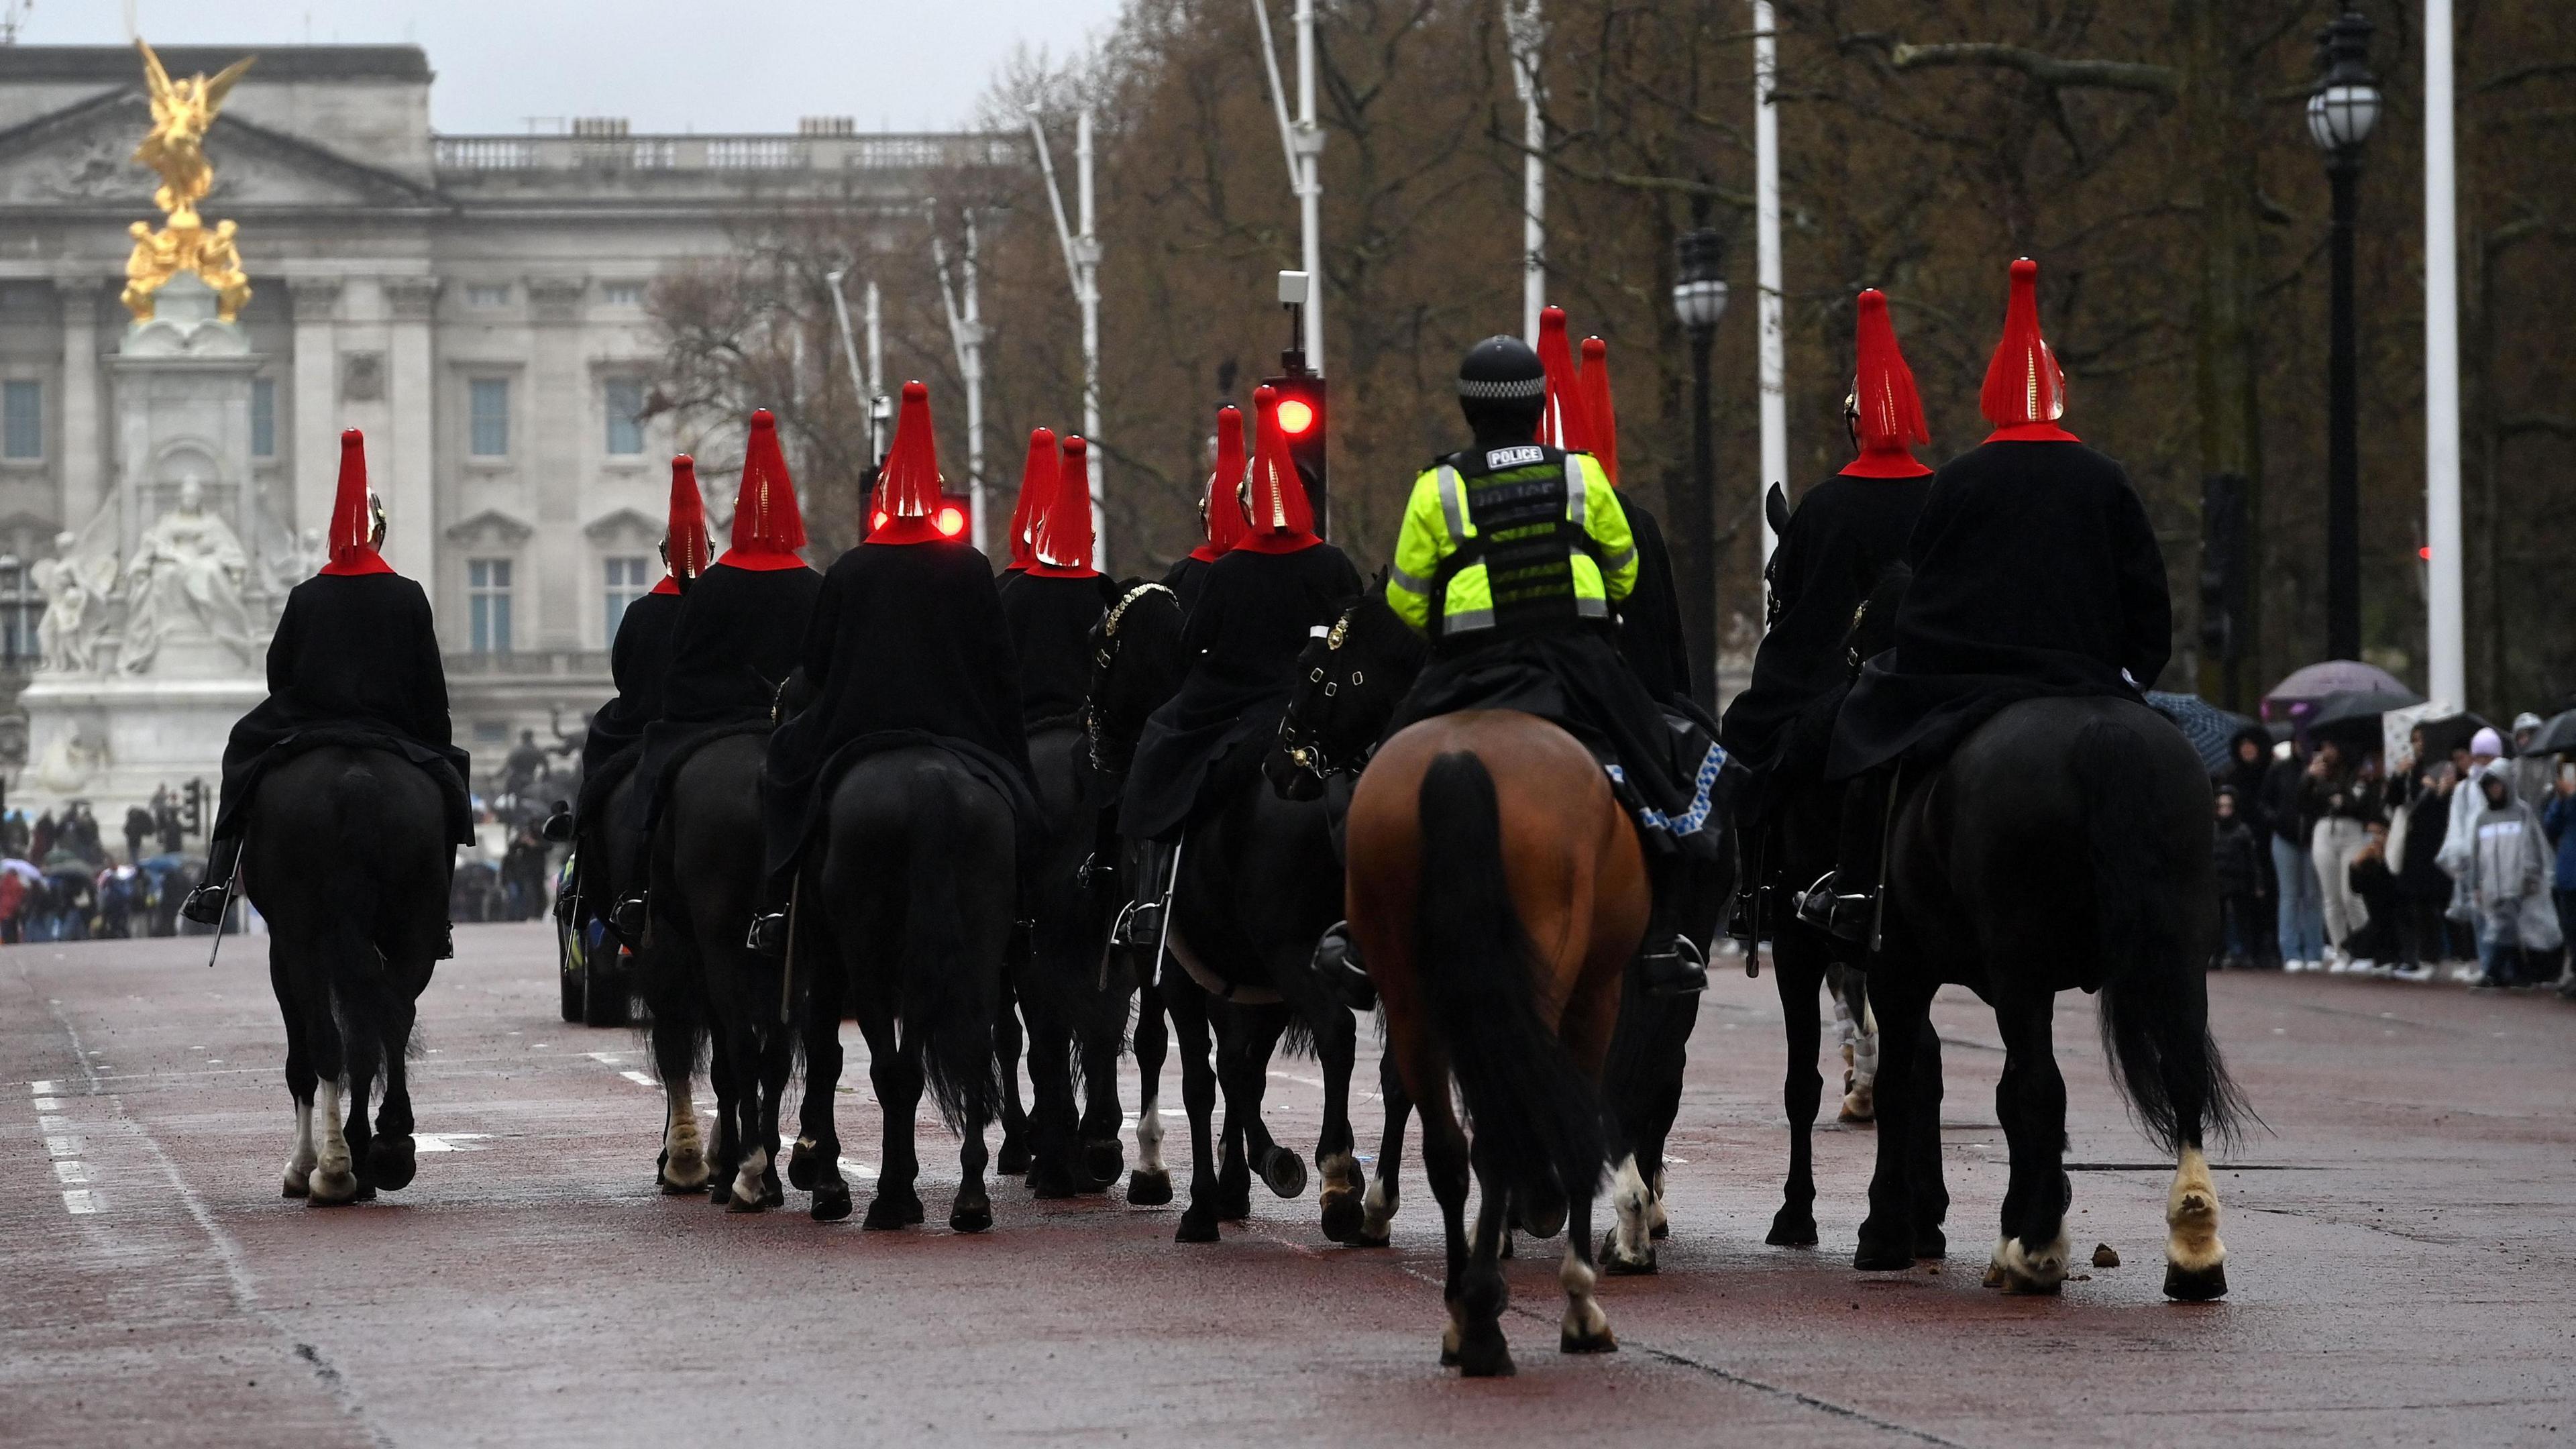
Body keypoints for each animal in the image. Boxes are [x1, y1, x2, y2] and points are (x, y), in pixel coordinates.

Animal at [243, 737, 451, 1201]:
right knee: (390, 1023)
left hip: (301, 938)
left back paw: (333, 1169)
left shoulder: (283, 950)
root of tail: (357, 781)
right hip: (415, 929)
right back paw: (386, 1144)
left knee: (325, 1043)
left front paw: (303, 1166)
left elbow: (302, 1062)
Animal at [788, 742, 1010, 1227]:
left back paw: (891, 1198)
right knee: (972, 1054)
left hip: (864, 953)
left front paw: (824, 1178)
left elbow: (824, 1051)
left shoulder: (827, 952)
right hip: (981, 941)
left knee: (890, 1069)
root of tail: (929, 782)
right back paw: (969, 1198)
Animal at [1087, 580, 1370, 1237]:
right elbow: (1243, 1068)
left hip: (1291, 952)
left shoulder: (1177, 969)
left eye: (1098, 650)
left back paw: (1339, 1180)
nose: (1097, 745)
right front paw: (1250, 1174)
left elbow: (1198, 1076)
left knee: (1338, 1033)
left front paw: (1202, 1201)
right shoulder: (1248, 980)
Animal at [1350, 706, 1648, 1371]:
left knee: (1449, 1148)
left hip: (1410, 996)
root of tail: (1460, 756)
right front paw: (1581, 1305)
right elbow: (1582, 1122)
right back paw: (1491, 1311)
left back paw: (1466, 1314)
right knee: (1496, 1136)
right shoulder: (1599, 997)